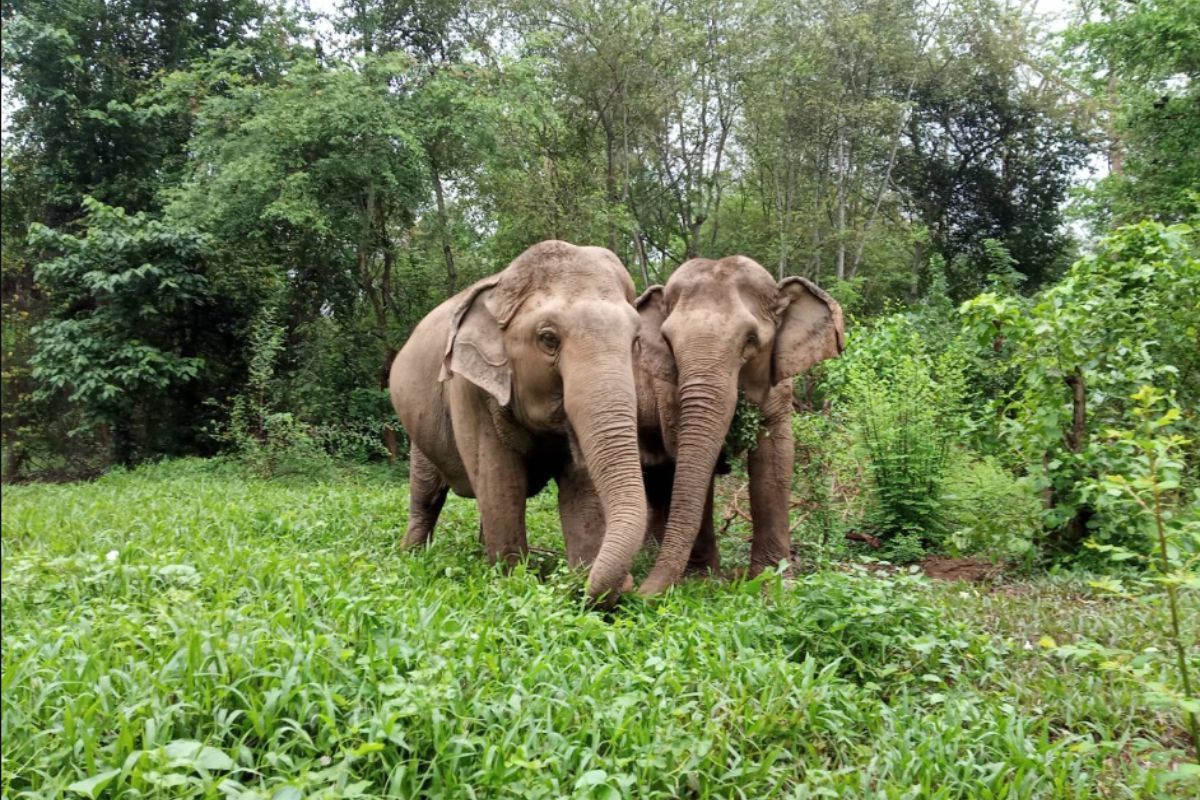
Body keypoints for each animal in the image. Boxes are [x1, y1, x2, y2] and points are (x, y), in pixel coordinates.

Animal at [389, 240, 647, 603]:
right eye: (548, 339)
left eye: (636, 340)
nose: (630, 583)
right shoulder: (468, 389)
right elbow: (501, 481)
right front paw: (513, 581)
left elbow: (580, 487)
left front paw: (583, 580)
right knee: (426, 493)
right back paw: (411, 554)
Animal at [632, 255, 844, 595]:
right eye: (667, 341)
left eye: (751, 340)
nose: (635, 595)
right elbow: (685, 456)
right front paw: (702, 580)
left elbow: (775, 457)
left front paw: (772, 582)